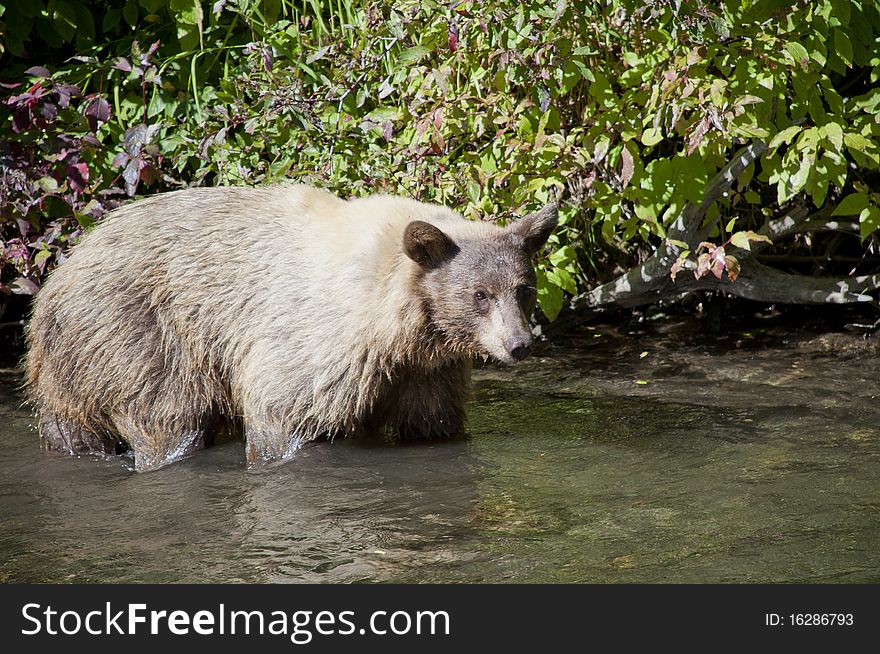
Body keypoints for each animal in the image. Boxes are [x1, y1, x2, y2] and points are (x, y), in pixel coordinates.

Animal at [25, 186, 556, 472]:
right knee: (167, 415)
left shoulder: (424, 369)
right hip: (138, 330)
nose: (519, 344)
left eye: (523, 288)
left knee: (71, 427)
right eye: (480, 295)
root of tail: (59, 274)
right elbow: (287, 420)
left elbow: (431, 424)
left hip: (73, 364)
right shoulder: (314, 345)